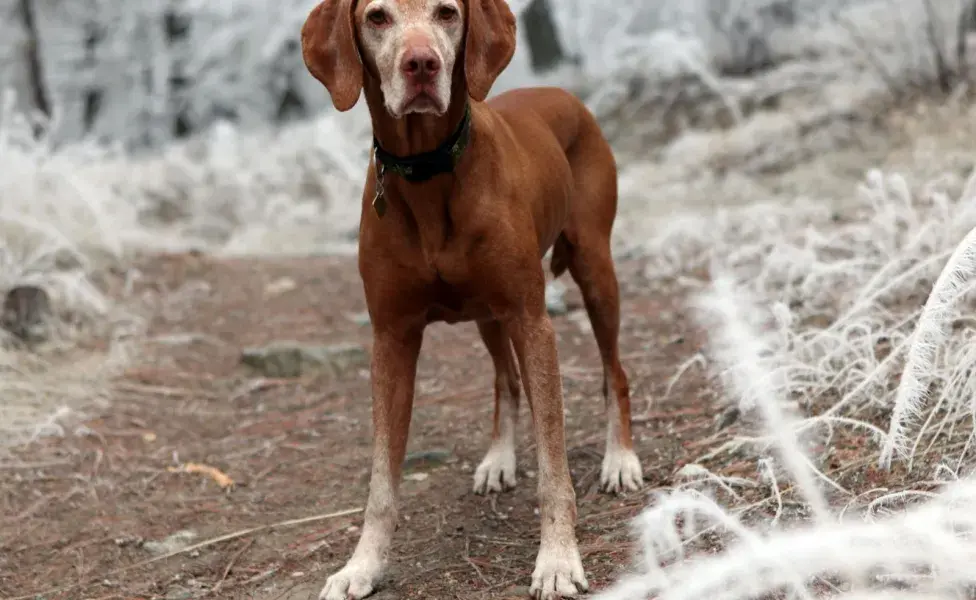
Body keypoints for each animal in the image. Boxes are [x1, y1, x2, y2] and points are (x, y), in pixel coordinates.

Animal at [302, 2, 644, 596]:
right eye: (376, 17)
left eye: (447, 13)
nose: (422, 64)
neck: (427, 173)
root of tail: (563, 92)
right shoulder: (391, 338)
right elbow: (382, 481)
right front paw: (363, 565)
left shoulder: (532, 321)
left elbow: (553, 466)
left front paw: (557, 559)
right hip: (488, 315)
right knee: (505, 381)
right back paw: (500, 458)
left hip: (594, 269)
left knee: (613, 372)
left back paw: (619, 459)